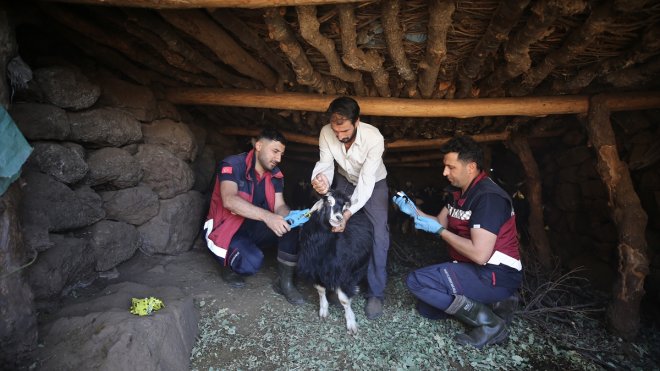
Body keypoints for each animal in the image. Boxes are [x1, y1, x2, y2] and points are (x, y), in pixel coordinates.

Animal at [298, 192, 374, 334]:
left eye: (344, 207)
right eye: (328, 202)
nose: (339, 217)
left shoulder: (342, 272)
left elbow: (344, 300)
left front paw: (351, 323)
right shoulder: (316, 270)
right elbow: (320, 290)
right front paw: (323, 311)